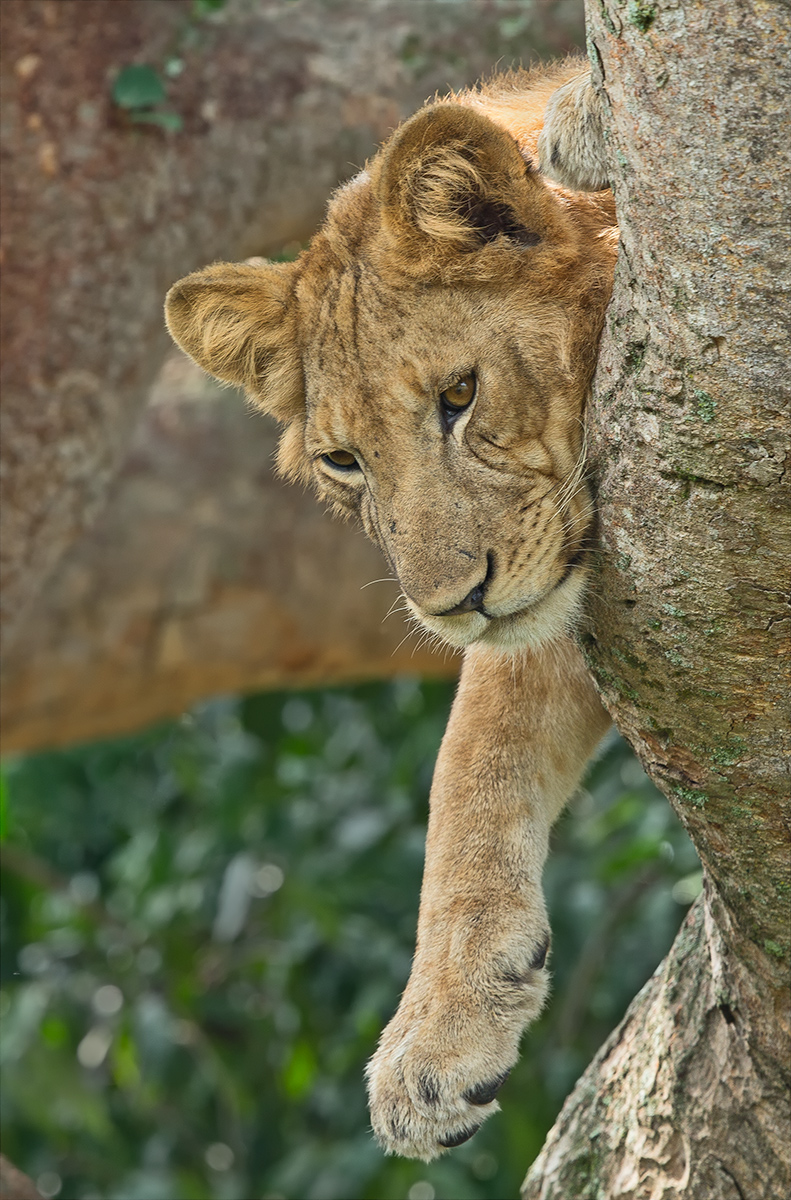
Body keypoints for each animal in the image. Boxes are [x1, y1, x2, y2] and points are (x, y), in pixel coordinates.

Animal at [165, 60, 617, 1161]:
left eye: (458, 397)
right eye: (344, 461)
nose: (454, 605)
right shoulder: (567, 595)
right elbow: (471, 761)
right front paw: (439, 1029)